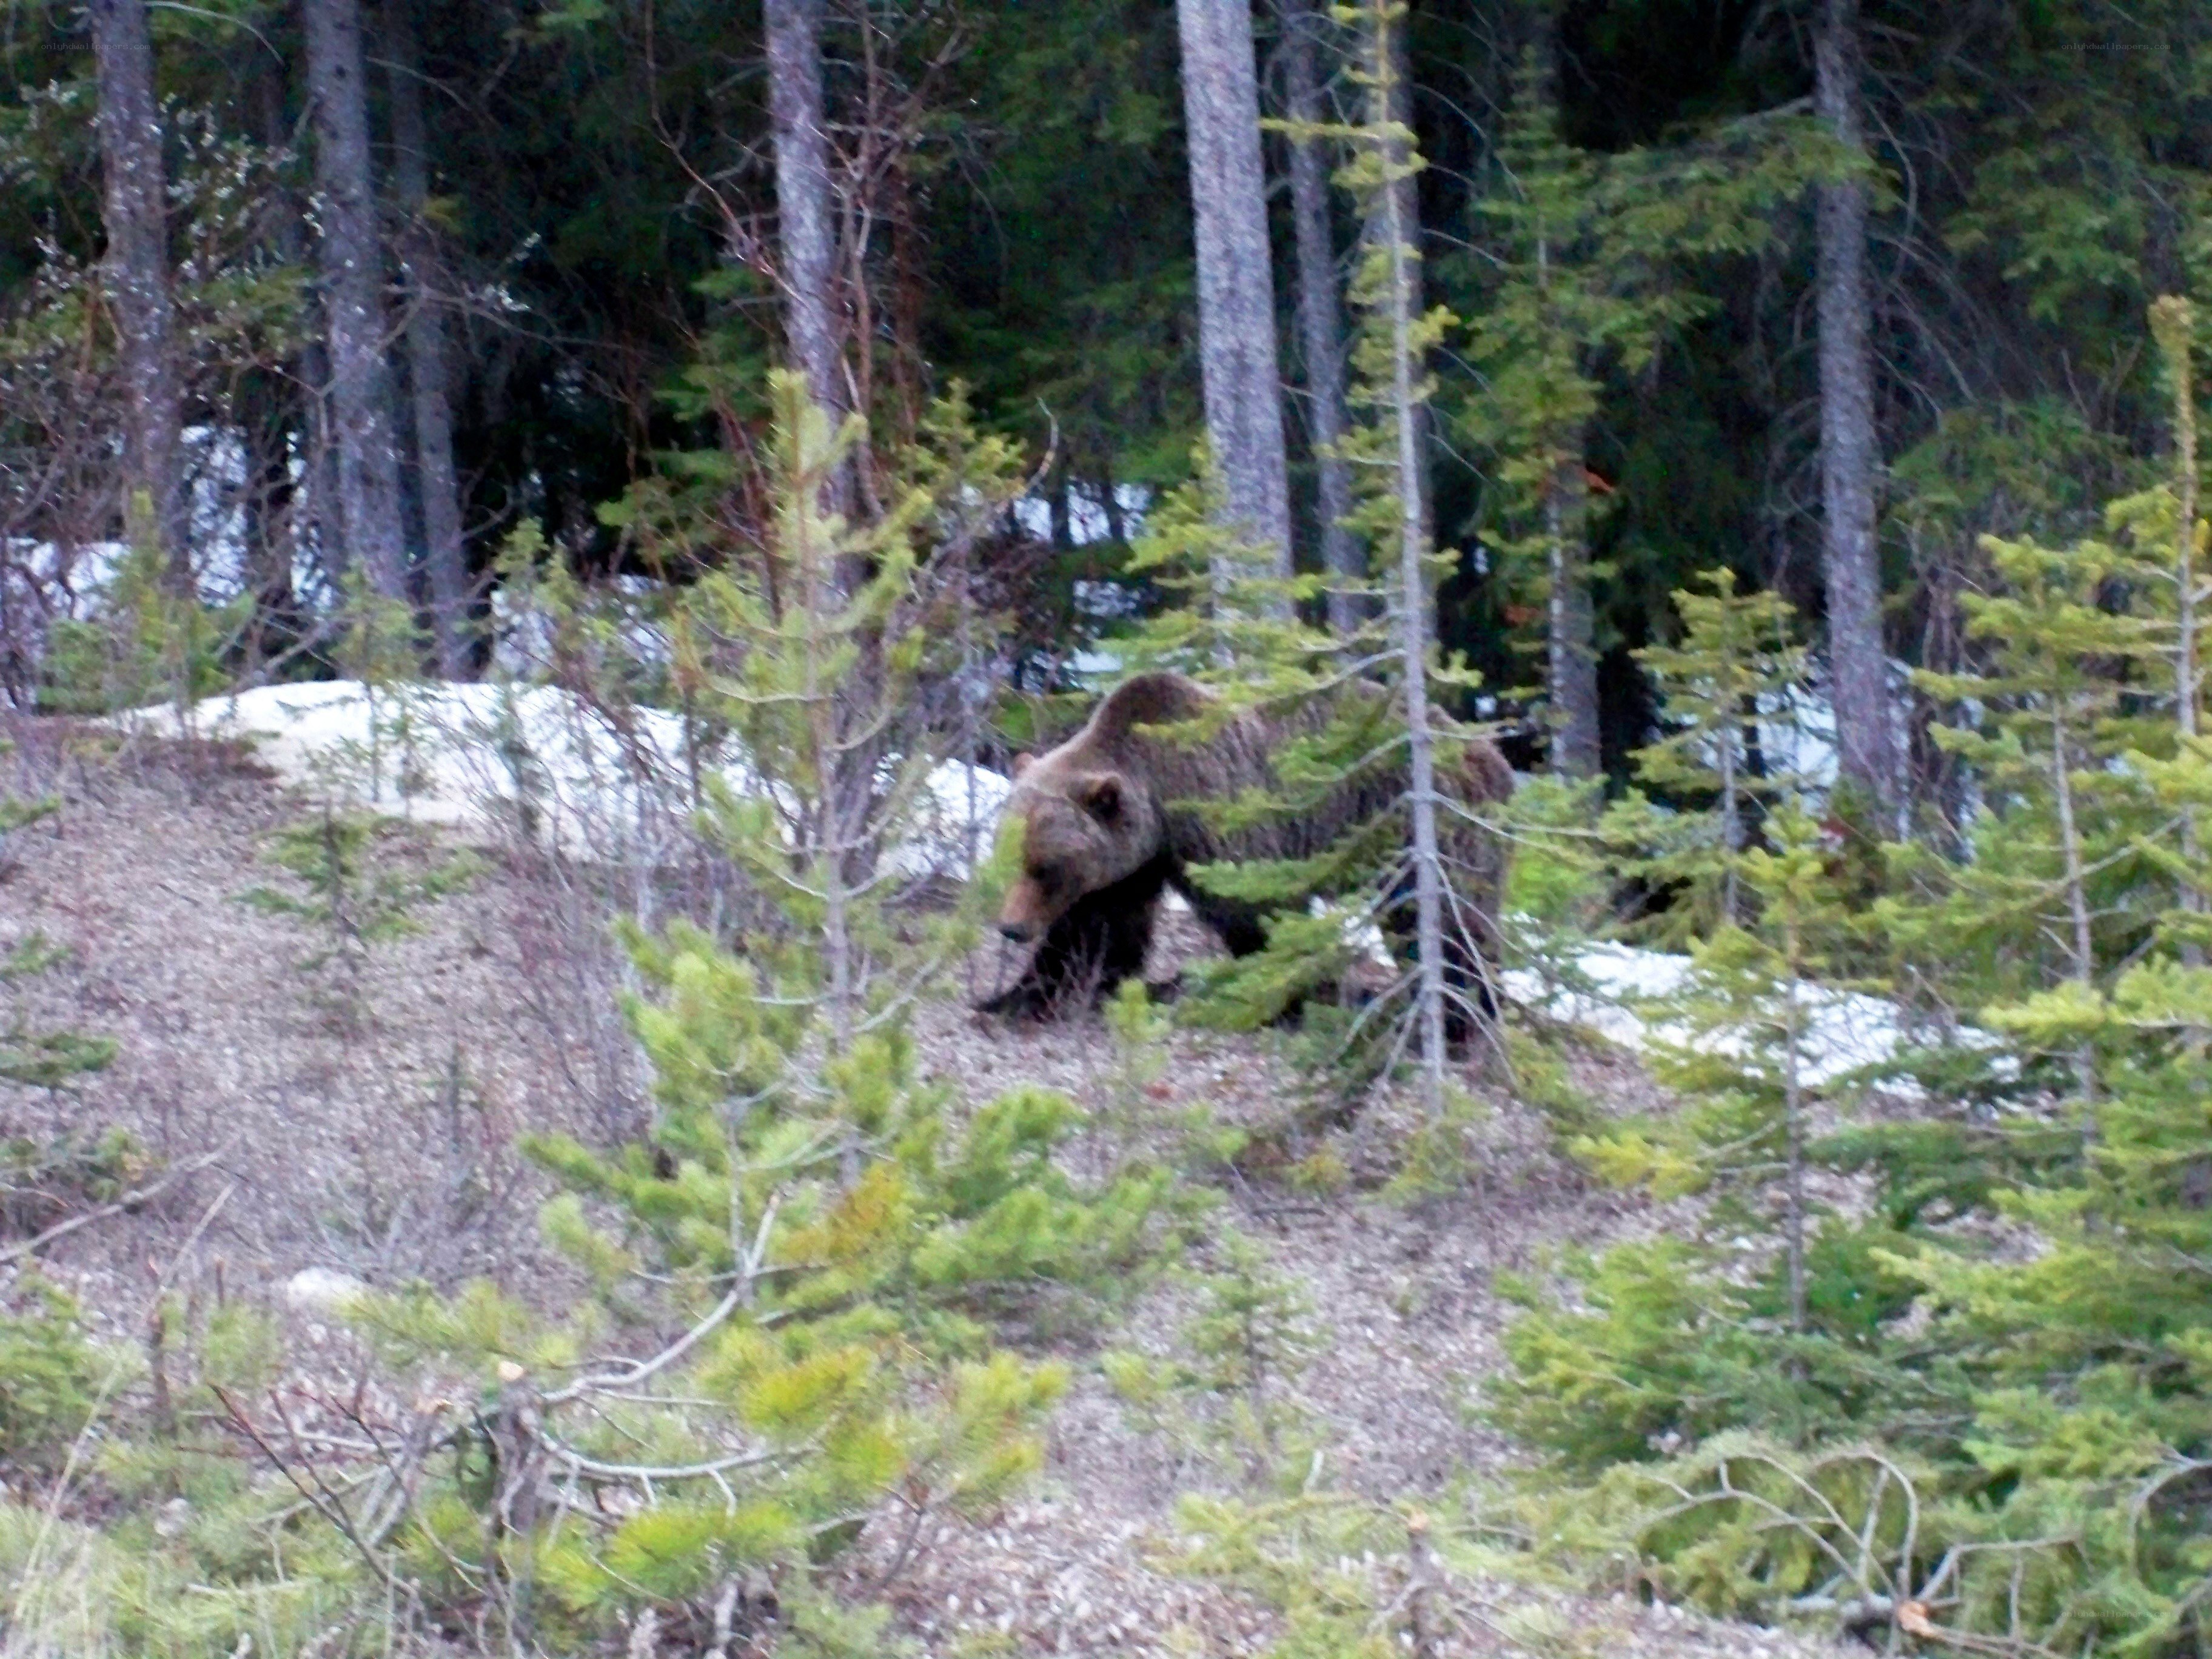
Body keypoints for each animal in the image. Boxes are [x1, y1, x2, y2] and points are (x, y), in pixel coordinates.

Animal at [979, 671, 1514, 1034]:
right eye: (1011, 860)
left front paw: (1277, 997)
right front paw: (1016, 996)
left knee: (1446, 921)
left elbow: (1254, 907)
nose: (1011, 928)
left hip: (1421, 829)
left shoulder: (1219, 813)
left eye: (1045, 868)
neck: (1162, 796)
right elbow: (1097, 930)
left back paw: (1459, 1016)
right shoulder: (1132, 862)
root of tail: (1493, 758)